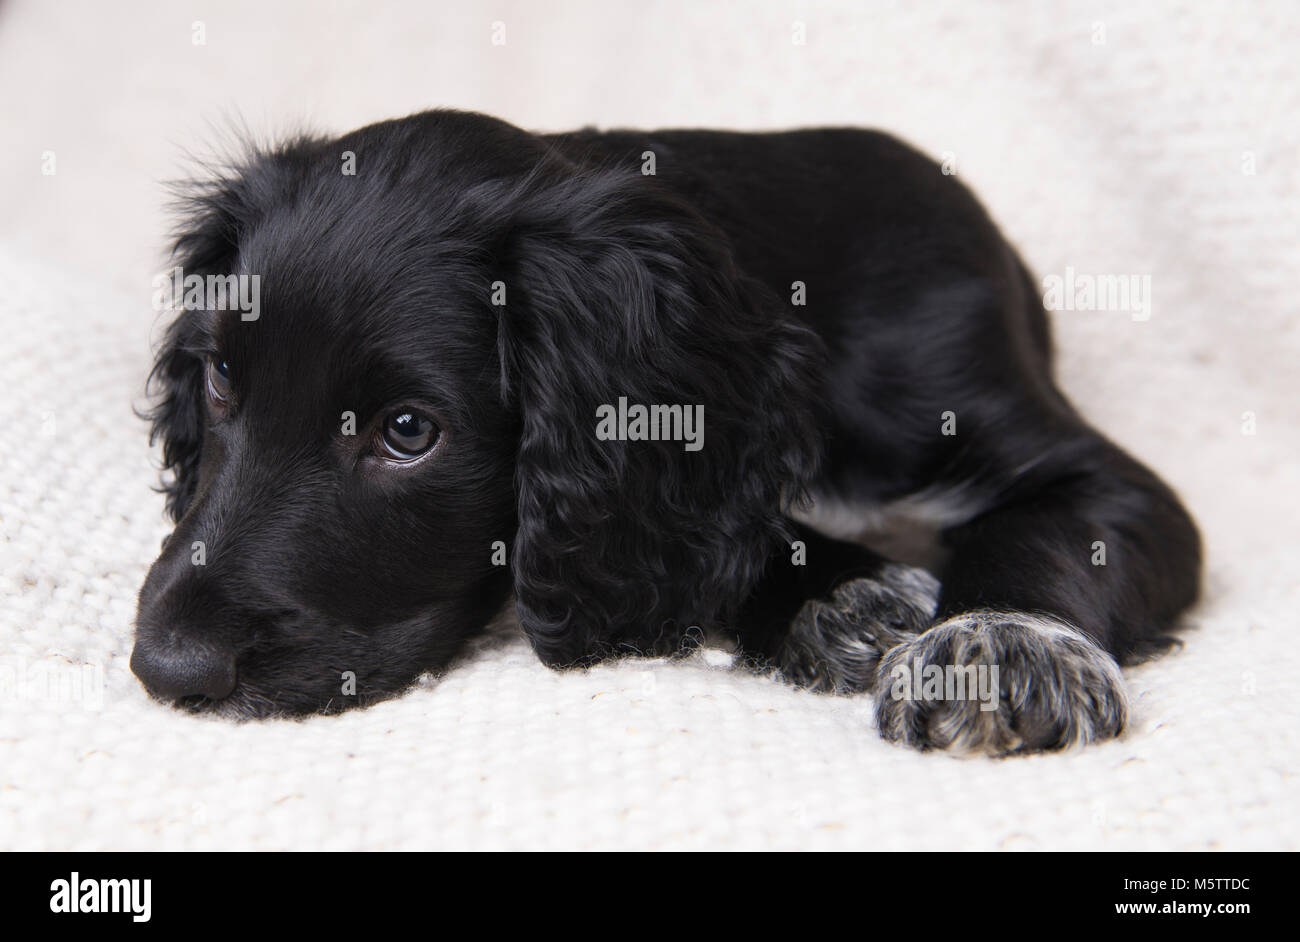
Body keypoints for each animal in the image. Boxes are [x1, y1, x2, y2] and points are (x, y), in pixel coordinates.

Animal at [131, 108, 1196, 758]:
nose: (168, 669)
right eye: (220, 378)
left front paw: (998, 646)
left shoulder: (1103, 477)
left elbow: (1041, 529)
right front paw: (845, 594)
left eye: (406, 432)